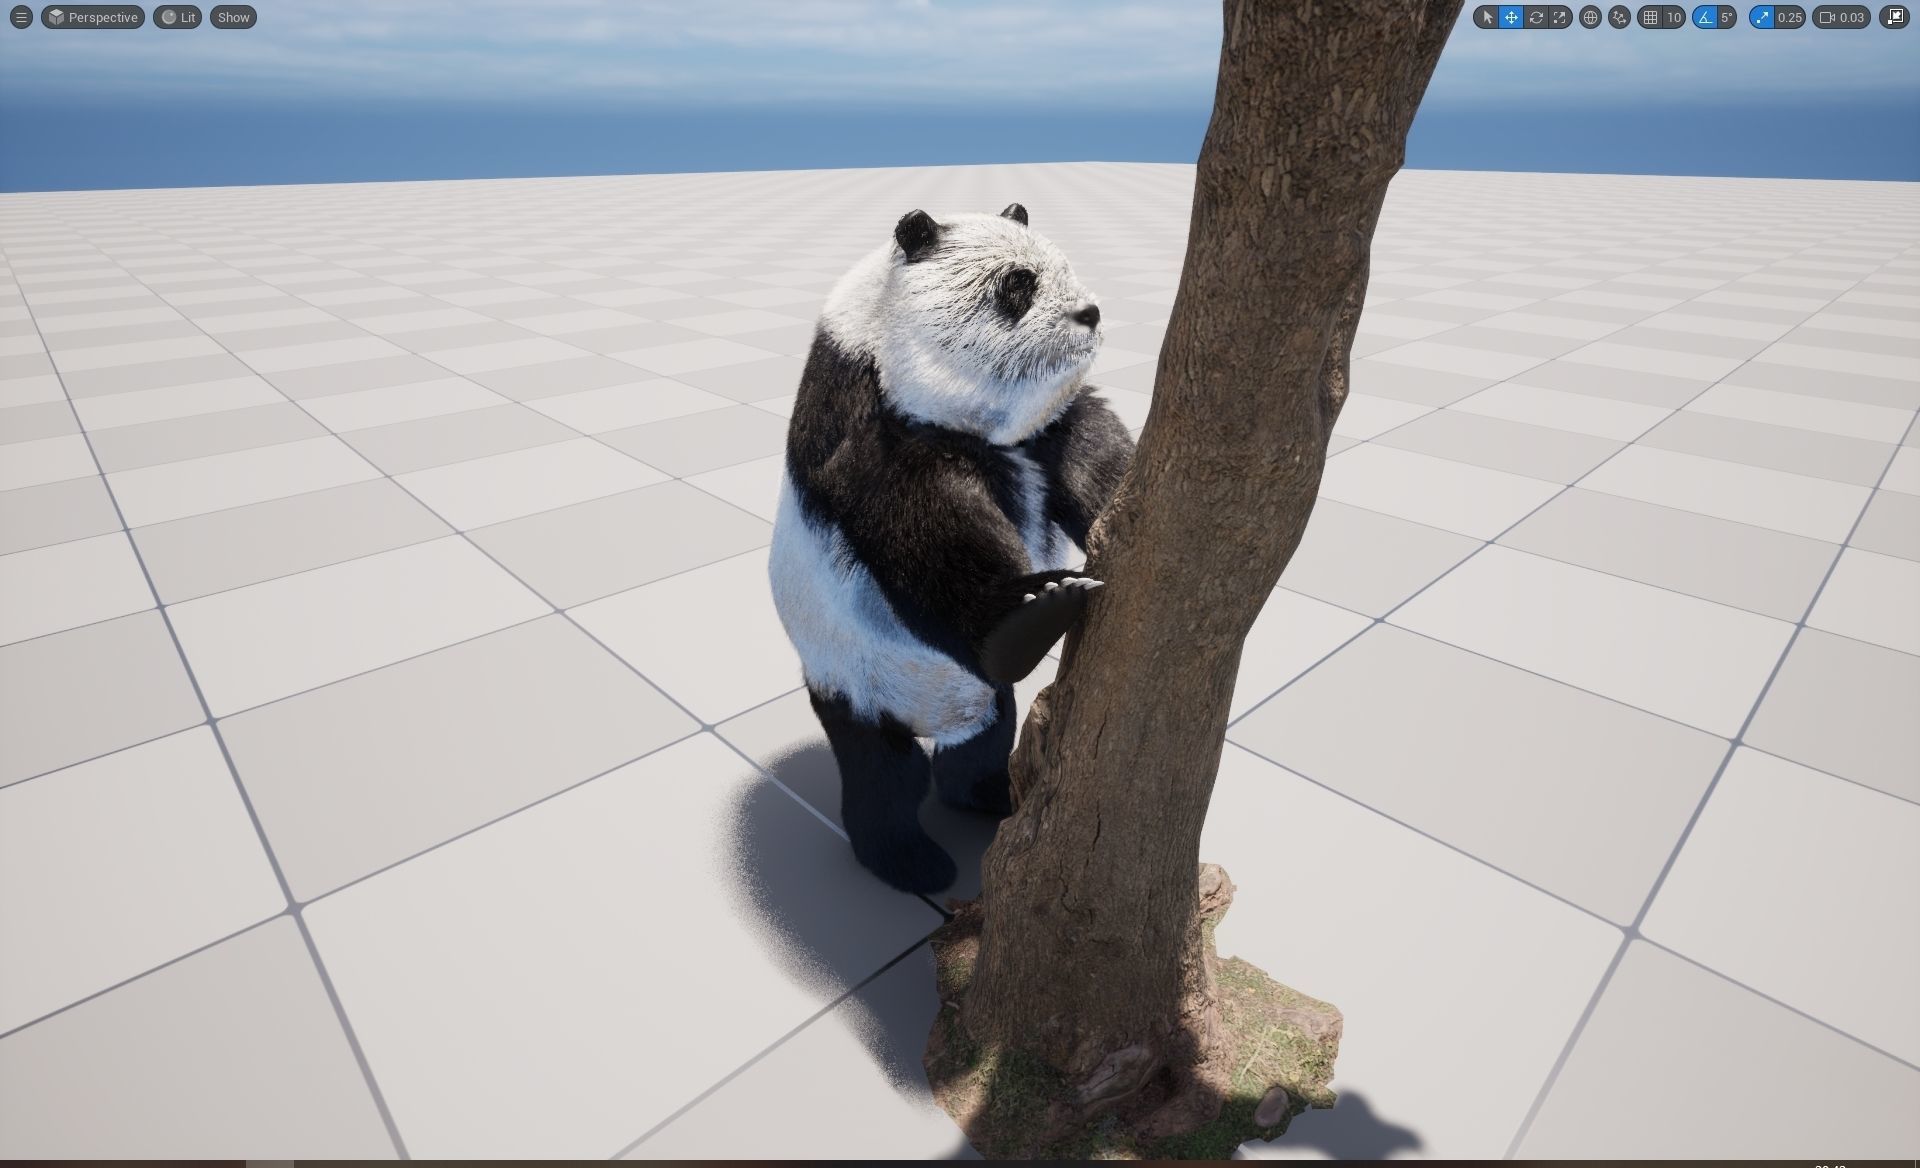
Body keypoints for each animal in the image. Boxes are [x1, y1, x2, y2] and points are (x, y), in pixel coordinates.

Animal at [769, 202, 1135, 893]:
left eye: (1063, 267)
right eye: (1018, 285)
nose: (1090, 313)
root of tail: (933, 717)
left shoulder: (1046, 429)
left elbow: (1092, 449)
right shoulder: (870, 425)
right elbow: (928, 526)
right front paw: (1032, 612)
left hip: (973, 699)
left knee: (983, 740)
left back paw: (991, 793)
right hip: (853, 676)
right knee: (885, 776)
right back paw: (909, 861)